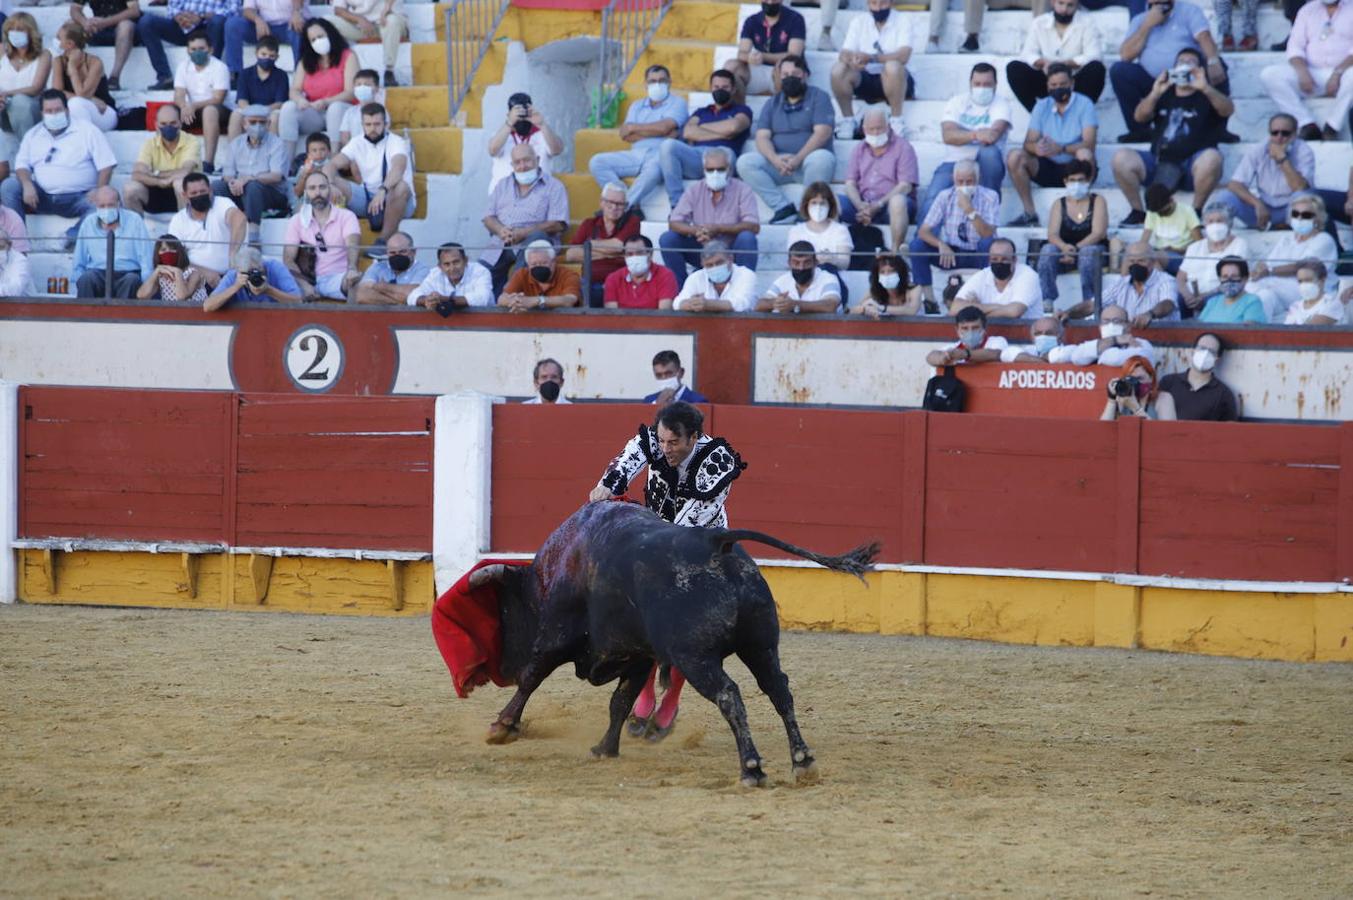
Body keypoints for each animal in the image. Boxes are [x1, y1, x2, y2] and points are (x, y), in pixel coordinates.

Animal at [470, 500, 882, 784]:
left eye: (504, 610)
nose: (501, 668)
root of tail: (715, 541)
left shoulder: (555, 637)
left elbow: (532, 678)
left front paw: (501, 727)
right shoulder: (637, 654)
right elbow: (620, 703)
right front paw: (605, 748)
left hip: (695, 656)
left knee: (729, 694)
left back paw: (751, 768)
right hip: (761, 646)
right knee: (779, 691)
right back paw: (802, 761)